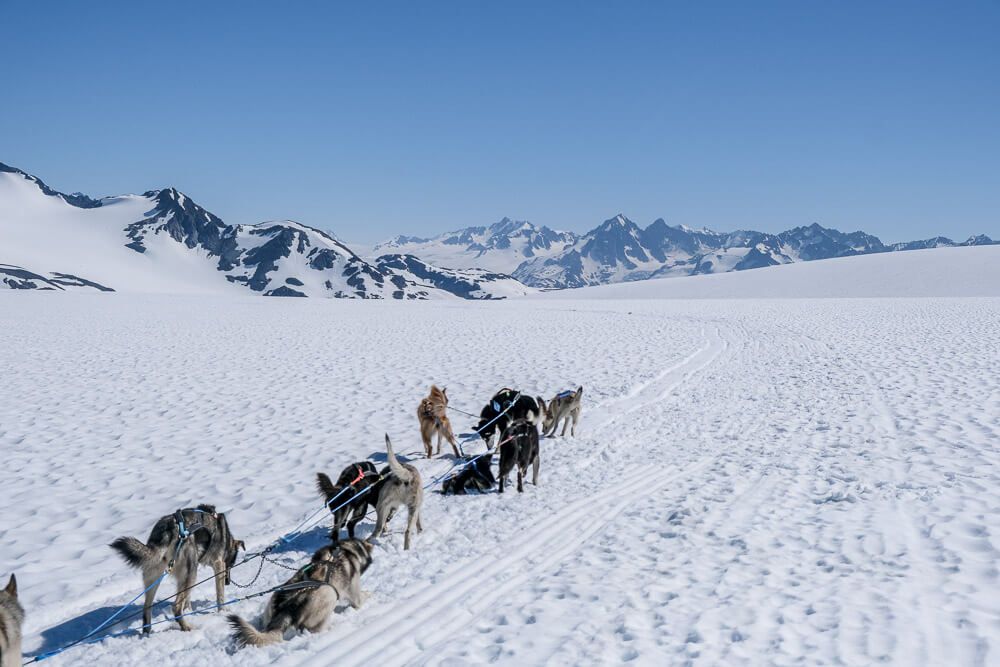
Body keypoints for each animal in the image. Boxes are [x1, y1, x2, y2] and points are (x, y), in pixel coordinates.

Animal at [110, 504, 244, 636]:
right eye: (231, 564)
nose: (228, 582)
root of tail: (169, 528)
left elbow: (188, 599)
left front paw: (189, 610)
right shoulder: (219, 564)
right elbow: (220, 595)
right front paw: (223, 611)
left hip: (155, 577)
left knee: (147, 607)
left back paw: (147, 632)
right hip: (192, 572)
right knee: (176, 606)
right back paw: (186, 627)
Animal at [227, 540, 376, 648]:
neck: (348, 551)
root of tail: (286, 608)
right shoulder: (354, 594)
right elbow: (361, 598)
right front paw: (370, 593)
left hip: (274, 599)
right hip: (329, 594)